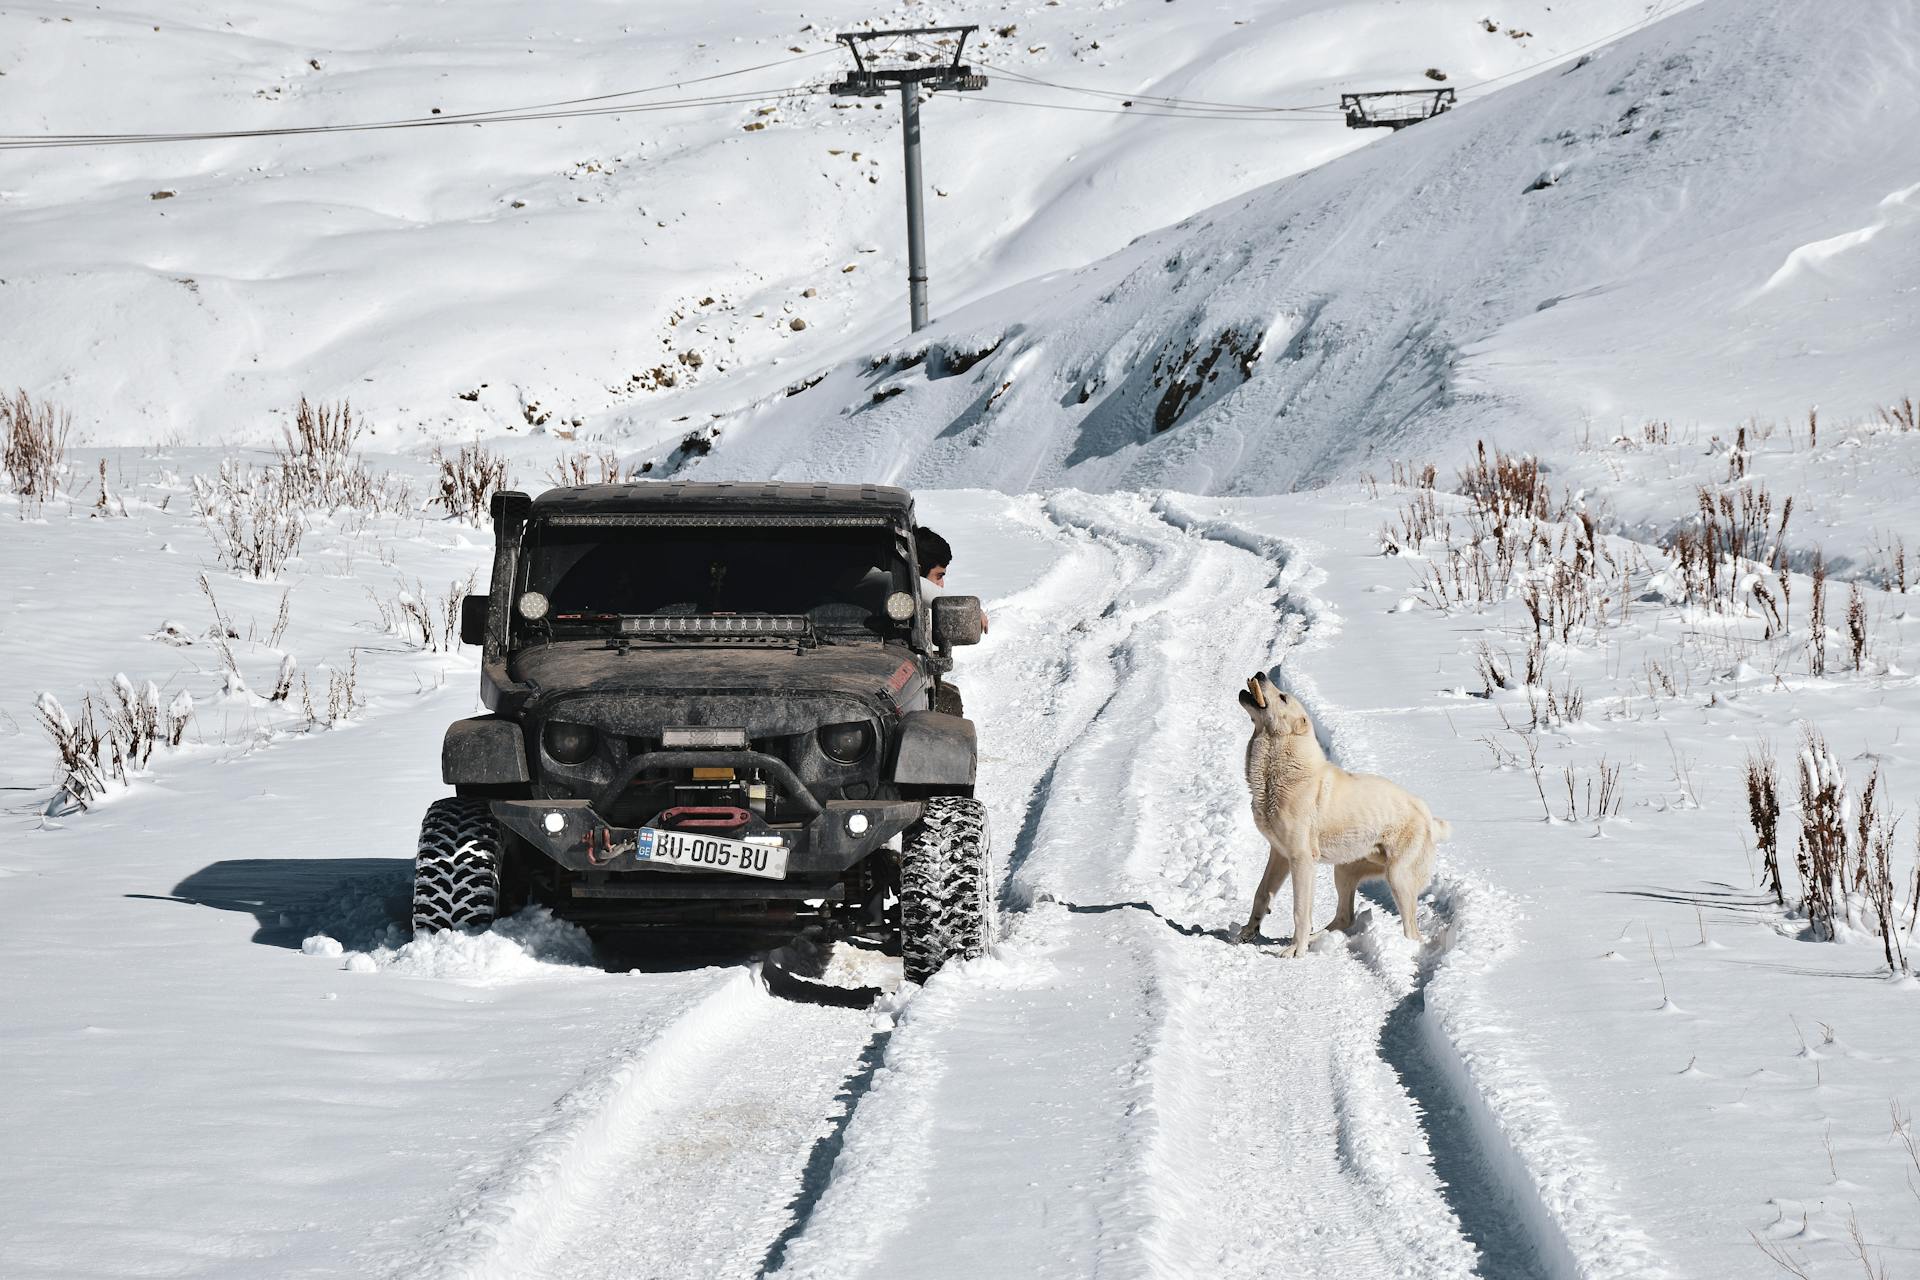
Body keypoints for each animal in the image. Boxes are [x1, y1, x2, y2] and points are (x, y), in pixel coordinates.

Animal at [1236, 675, 1443, 955]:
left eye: (1283, 697)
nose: (1259, 674)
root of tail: (1426, 814)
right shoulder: (1279, 854)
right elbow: (1261, 893)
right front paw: (1249, 932)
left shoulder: (1301, 859)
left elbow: (1300, 910)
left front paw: (1295, 951)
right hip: (1345, 870)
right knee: (1345, 916)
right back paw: (1317, 939)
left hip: (1398, 877)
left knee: (1412, 933)